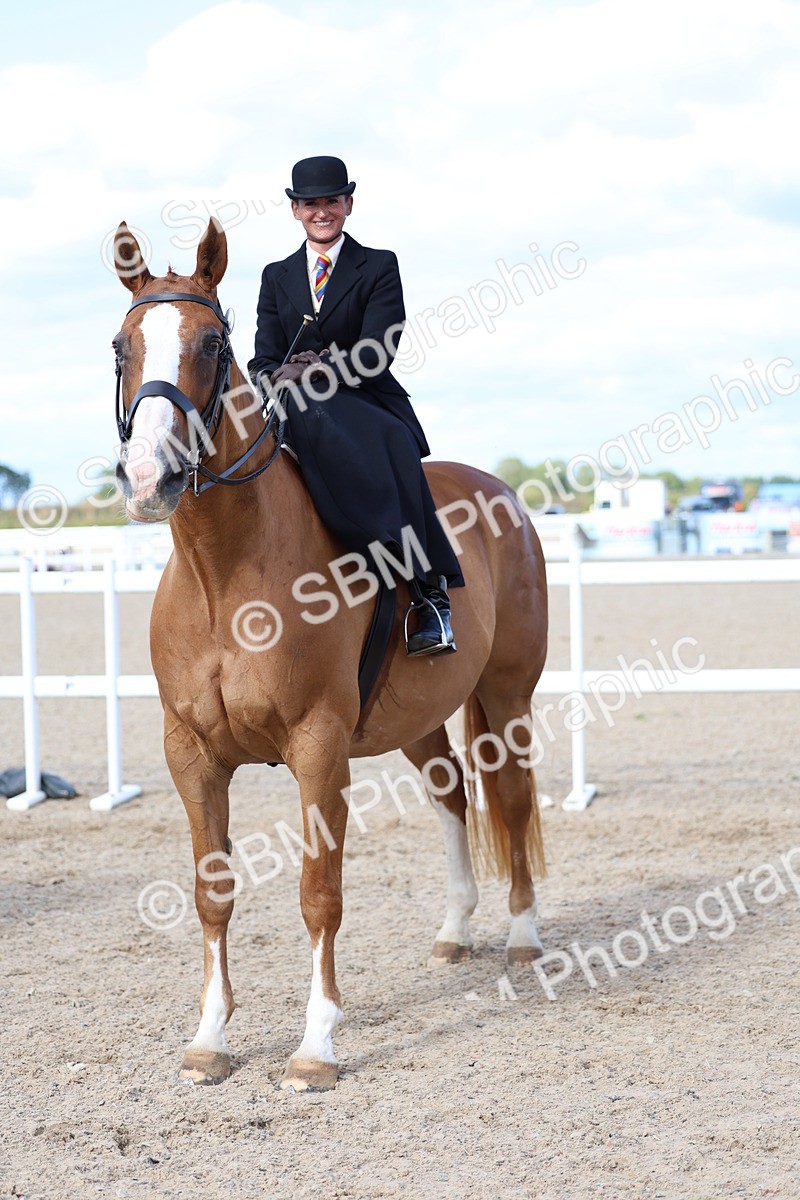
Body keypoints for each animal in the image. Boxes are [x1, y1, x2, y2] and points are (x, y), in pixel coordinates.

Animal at [111, 219, 548, 1091]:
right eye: (120, 346)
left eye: (212, 343)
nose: (149, 476)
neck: (224, 573)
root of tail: (503, 494)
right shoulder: (192, 755)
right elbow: (213, 891)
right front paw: (209, 1039)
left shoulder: (318, 748)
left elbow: (320, 894)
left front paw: (316, 1047)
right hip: (419, 717)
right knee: (453, 797)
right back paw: (457, 930)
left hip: (507, 697)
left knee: (512, 800)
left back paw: (522, 936)